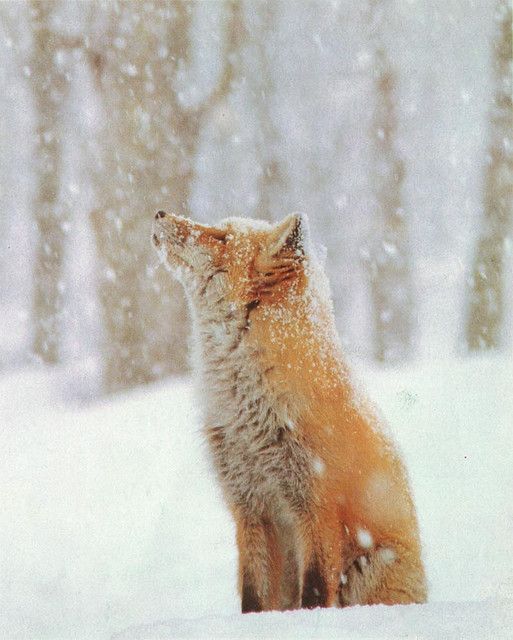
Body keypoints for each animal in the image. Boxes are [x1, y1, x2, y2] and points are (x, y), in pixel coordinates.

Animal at [153, 210, 428, 608]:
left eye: (221, 237)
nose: (159, 213)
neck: (249, 418)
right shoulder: (250, 509)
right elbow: (253, 598)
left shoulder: (317, 507)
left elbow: (313, 591)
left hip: (367, 568)